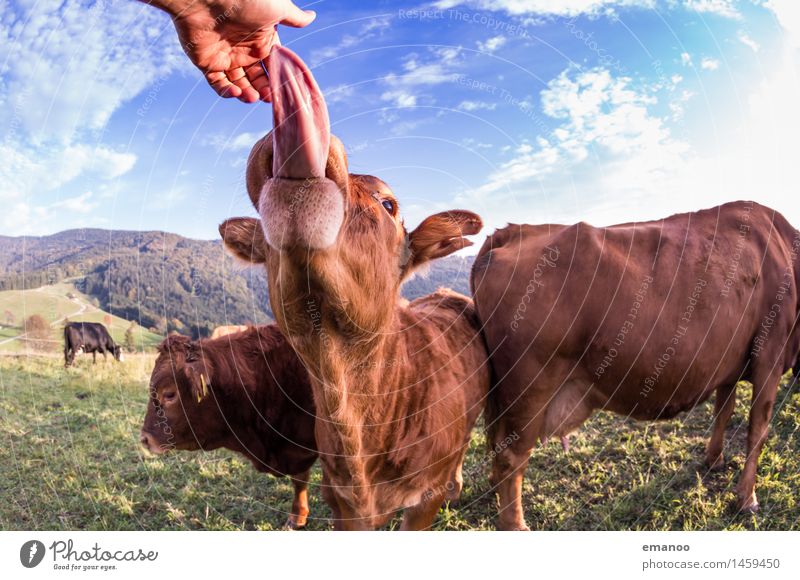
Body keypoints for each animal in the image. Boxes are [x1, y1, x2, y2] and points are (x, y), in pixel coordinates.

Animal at [472, 201, 800, 532]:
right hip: (530, 388)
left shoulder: (729, 364)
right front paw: (747, 499)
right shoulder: (769, 354)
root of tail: (514, 231)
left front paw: (714, 459)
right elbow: (757, 429)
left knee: (497, 449)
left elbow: (724, 410)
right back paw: (515, 524)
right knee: (511, 456)